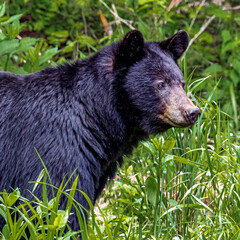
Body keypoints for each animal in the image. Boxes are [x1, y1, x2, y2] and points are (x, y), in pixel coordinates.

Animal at [0, 30, 199, 231]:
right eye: (161, 84)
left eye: (182, 83)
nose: (192, 112)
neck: (95, 115)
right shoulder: (54, 150)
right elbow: (53, 204)